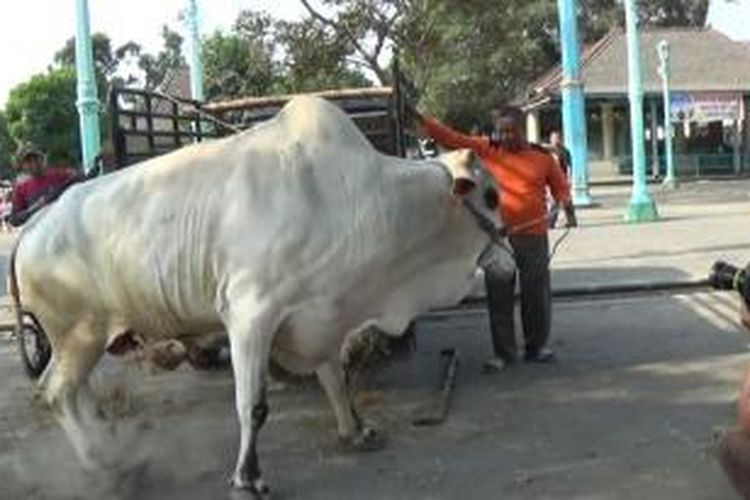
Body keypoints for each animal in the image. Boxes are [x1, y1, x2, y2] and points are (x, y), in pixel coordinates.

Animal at [8, 94, 506, 496]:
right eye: (492, 195)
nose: (510, 257)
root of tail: (35, 224)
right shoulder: (251, 314)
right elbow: (253, 406)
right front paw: (248, 478)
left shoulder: (322, 314)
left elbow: (335, 380)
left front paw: (355, 431)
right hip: (79, 335)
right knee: (55, 393)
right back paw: (102, 465)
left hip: (82, 341)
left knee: (72, 394)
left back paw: (114, 456)